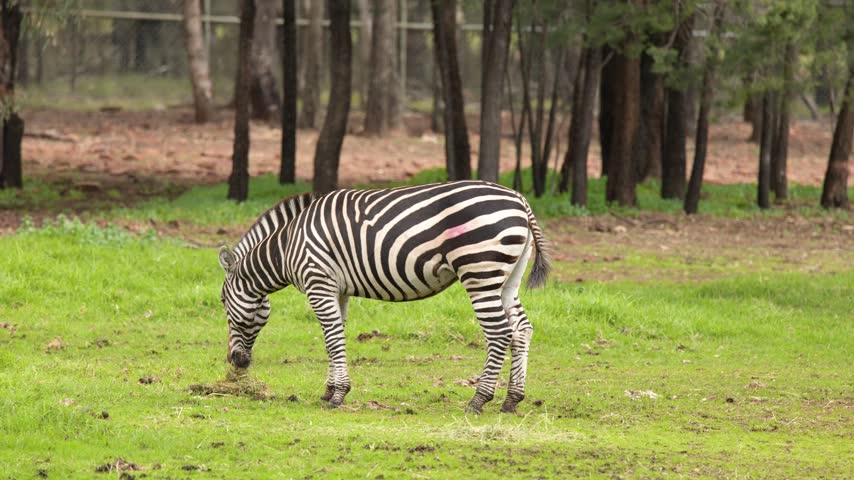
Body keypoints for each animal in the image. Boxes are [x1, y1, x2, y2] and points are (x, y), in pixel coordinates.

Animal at [217, 180, 550, 413]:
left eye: (221, 302)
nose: (235, 362)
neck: (287, 247)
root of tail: (520, 200)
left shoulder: (319, 283)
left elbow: (332, 338)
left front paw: (338, 395)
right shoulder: (337, 290)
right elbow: (333, 337)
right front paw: (329, 390)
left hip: (479, 270)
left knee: (499, 333)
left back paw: (478, 399)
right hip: (507, 278)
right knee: (522, 330)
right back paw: (512, 400)